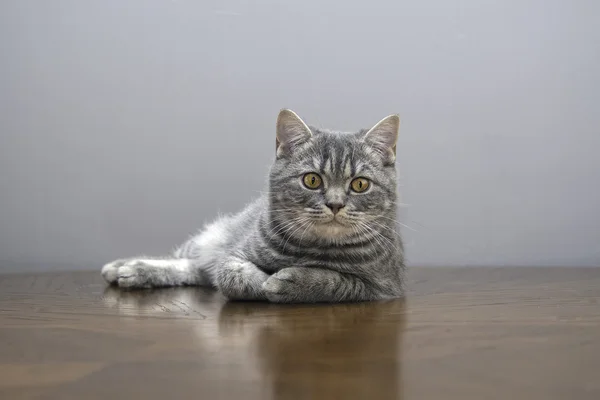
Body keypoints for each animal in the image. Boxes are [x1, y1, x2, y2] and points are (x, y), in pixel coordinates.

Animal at [101, 109, 406, 304]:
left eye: (360, 184)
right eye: (312, 180)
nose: (335, 203)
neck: (315, 248)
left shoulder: (384, 287)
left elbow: (336, 281)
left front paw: (292, 281)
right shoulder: (233, 254)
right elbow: (231, 274)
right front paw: (261, 282)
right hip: (211, 239)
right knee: (185, 260)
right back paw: (125, 266)